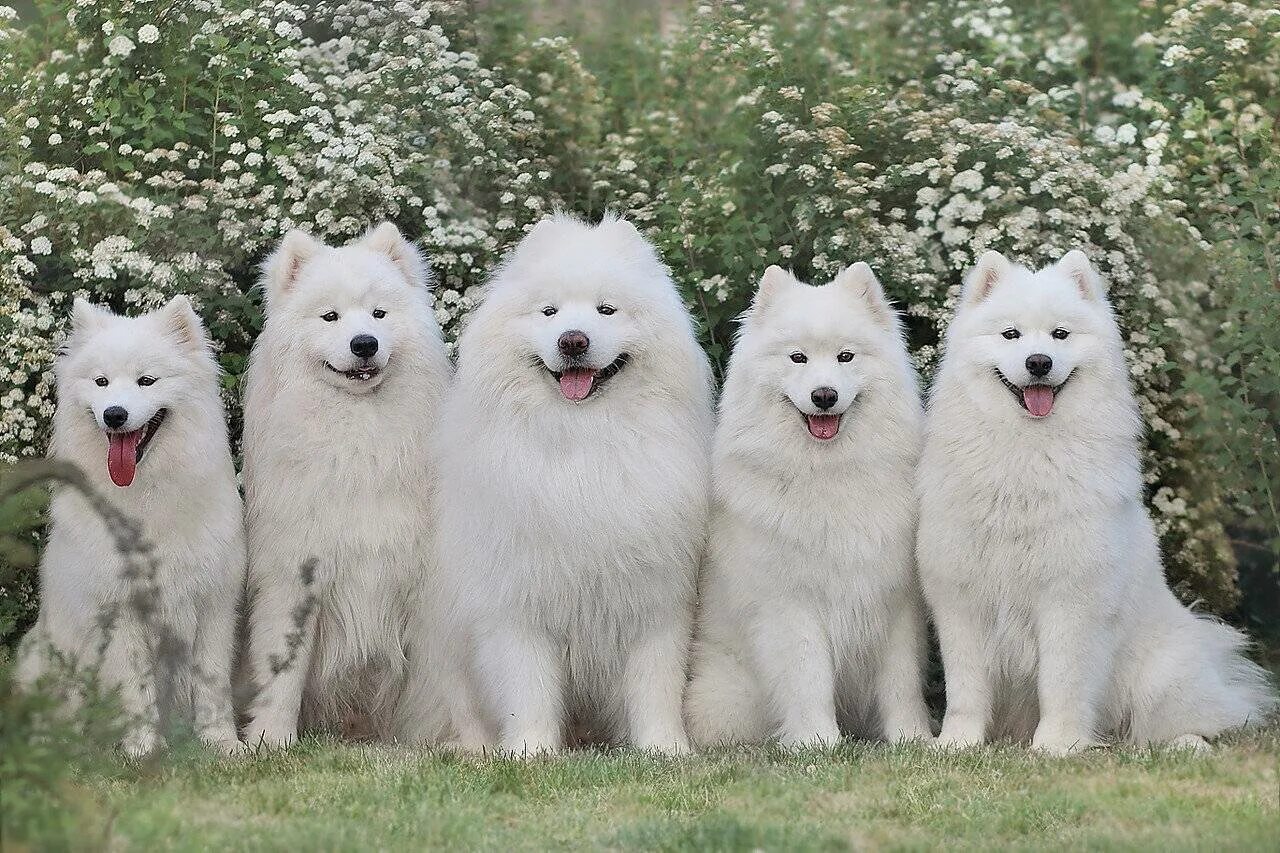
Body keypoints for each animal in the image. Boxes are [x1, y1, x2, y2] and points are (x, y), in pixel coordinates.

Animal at [18, 295, 245, 753]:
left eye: (146, 380)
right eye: (101, 382)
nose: (115, 414)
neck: (146, 496)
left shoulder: (214, 603)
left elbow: (212, 684)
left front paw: (222, 744)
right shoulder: (121, 610)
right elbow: (136, 688)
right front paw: (143, 749)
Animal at [239, 220, 450, 742]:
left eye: (379, 313)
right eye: (330, 317)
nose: (364, 343)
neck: (359, 439)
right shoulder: (294, 575)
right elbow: (283, 672)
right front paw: (270, 739)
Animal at [427, 212, 711, 753]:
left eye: (606, 309)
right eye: (549, 312)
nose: (573, 339)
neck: (583, 440)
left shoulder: (656, 603)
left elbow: (655, 688)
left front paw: (664, 750)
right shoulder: (518, 605)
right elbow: (529, 690)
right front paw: (529, 752)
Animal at [686, 262, 936, 742]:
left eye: (846, 357)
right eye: (797, 358)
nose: (824, 395)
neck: (828, 475)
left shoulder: (894, 601)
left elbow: (902, 683)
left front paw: (913, 738)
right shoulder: (793, 605)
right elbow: (808, 679)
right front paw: (818, 742)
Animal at [921, 247, 1269, 753]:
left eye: (1060, 334)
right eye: (1011, 334)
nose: (1039, 362)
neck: (1027, 452)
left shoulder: (1070, 600)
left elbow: (1062, 683)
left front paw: (1056, 747)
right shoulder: (962, 601)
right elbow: (966, 689)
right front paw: (957, 744)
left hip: (1159, 679)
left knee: (1188, 723)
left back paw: (1184, 743)